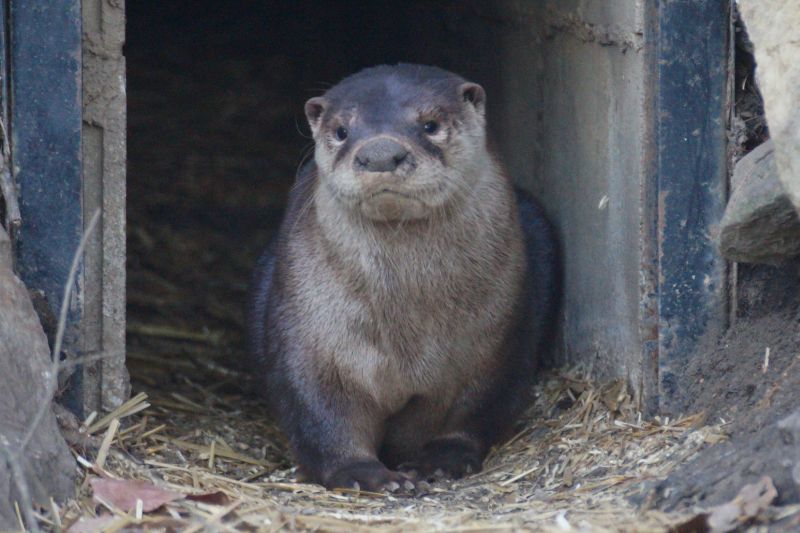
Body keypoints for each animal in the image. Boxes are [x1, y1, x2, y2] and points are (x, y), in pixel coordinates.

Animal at [249, 64, 559, 492]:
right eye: (342, 131)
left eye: (430, 125)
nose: (380, 154)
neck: (405, 334)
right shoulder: (309, 340)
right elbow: (320, 412)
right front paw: (364, 474)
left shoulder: (496, 341)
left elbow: (475, 407)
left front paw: (440, 461)